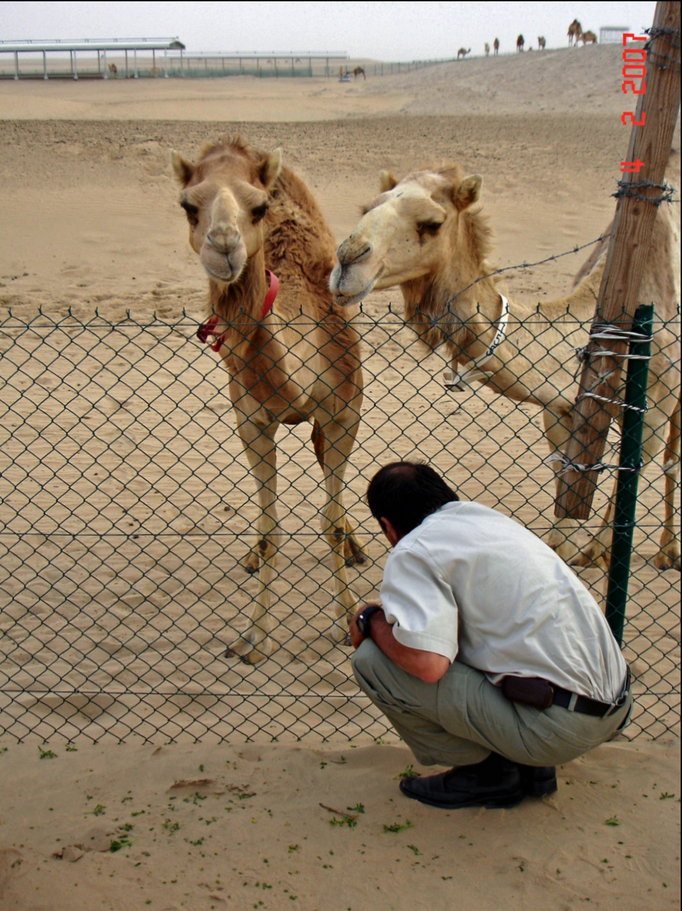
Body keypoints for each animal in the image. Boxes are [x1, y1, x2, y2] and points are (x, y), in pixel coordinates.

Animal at [170, 135, 364, 664]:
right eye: (188, 205)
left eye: (258, 207)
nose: (224, 245)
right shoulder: (251, 422)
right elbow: (270, 528)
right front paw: (253, 638)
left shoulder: (345, 410)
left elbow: (330, 522)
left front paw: (347, 623)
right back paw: (253, 558)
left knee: (323, 461)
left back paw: (356, 548)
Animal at [328, 157, 676, 568]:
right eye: (367, 208)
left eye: (432, 223)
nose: (346, 259)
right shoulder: (560, 409)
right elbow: (562, 509)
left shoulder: (654, 411)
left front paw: (598, 555)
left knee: (673, 458)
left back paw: (669, 552)